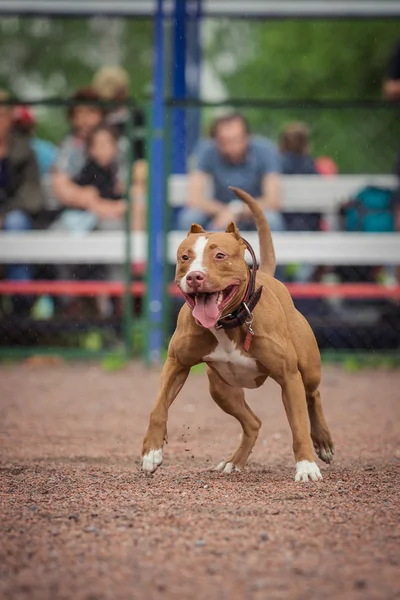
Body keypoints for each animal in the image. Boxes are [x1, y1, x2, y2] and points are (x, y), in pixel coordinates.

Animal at [141, 188, 334, 482]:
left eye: (220, 255)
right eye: (185, 257)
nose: (195, 276)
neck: (227, 323)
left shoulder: (290, 378)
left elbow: (298, 425)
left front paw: (306, 466)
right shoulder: (176, 364)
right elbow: (158, 406)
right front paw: (152, 452)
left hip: (308, 370)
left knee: (314, 395)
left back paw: (322, 442)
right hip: (221, 389)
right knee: (253, 423)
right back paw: (234, 462)